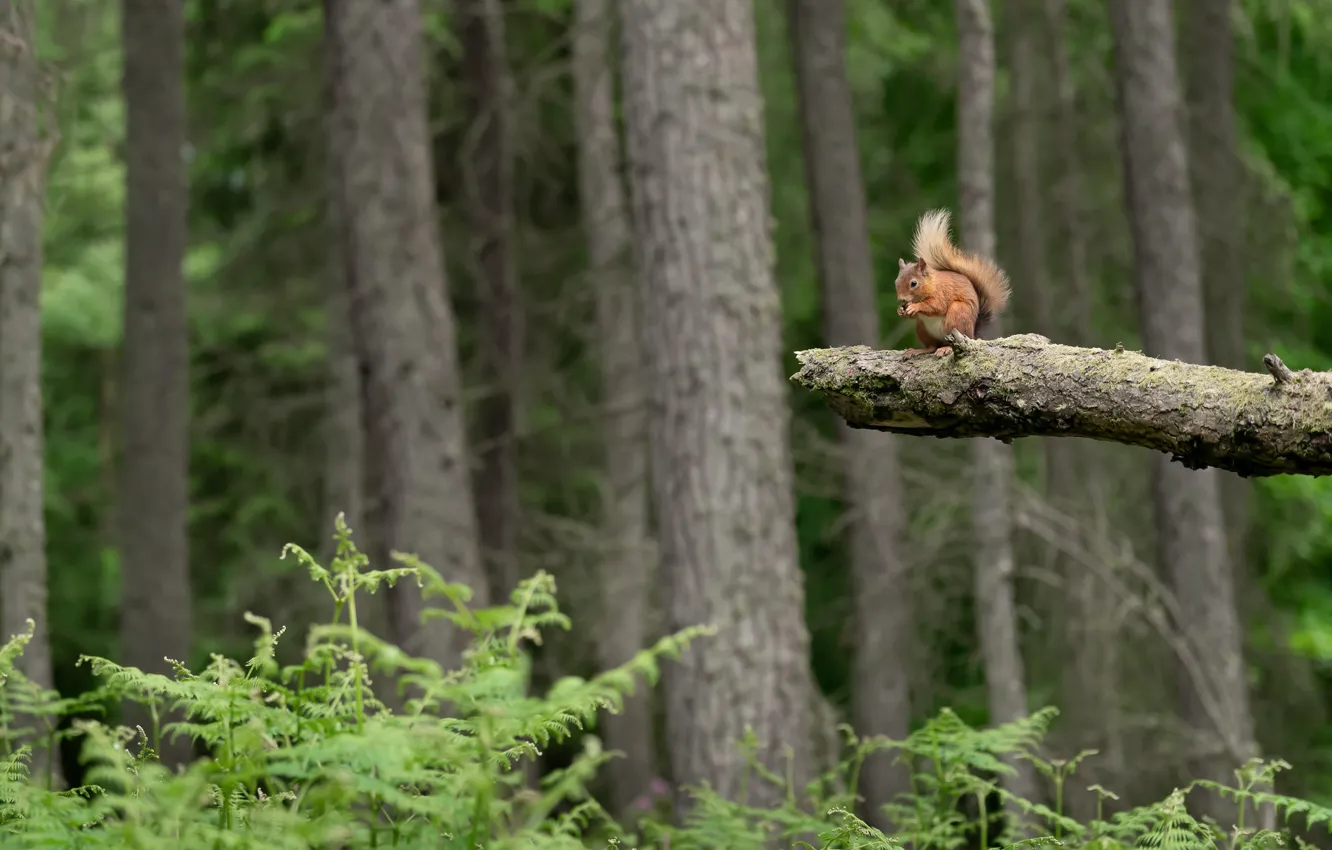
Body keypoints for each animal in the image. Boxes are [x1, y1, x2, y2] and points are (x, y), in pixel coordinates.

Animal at [895, 213, 1006, 359]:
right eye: (896, 282)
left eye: (913, 283)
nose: (901, 299)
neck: (932, 283)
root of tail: (971, 335)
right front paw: (900, 310)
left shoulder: (942, 293)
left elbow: (936, 305)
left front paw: (915, 306)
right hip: (922, 329)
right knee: (931, 346)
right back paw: (919, 350)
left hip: (957, 315)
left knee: (949, 342)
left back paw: (945, 348)